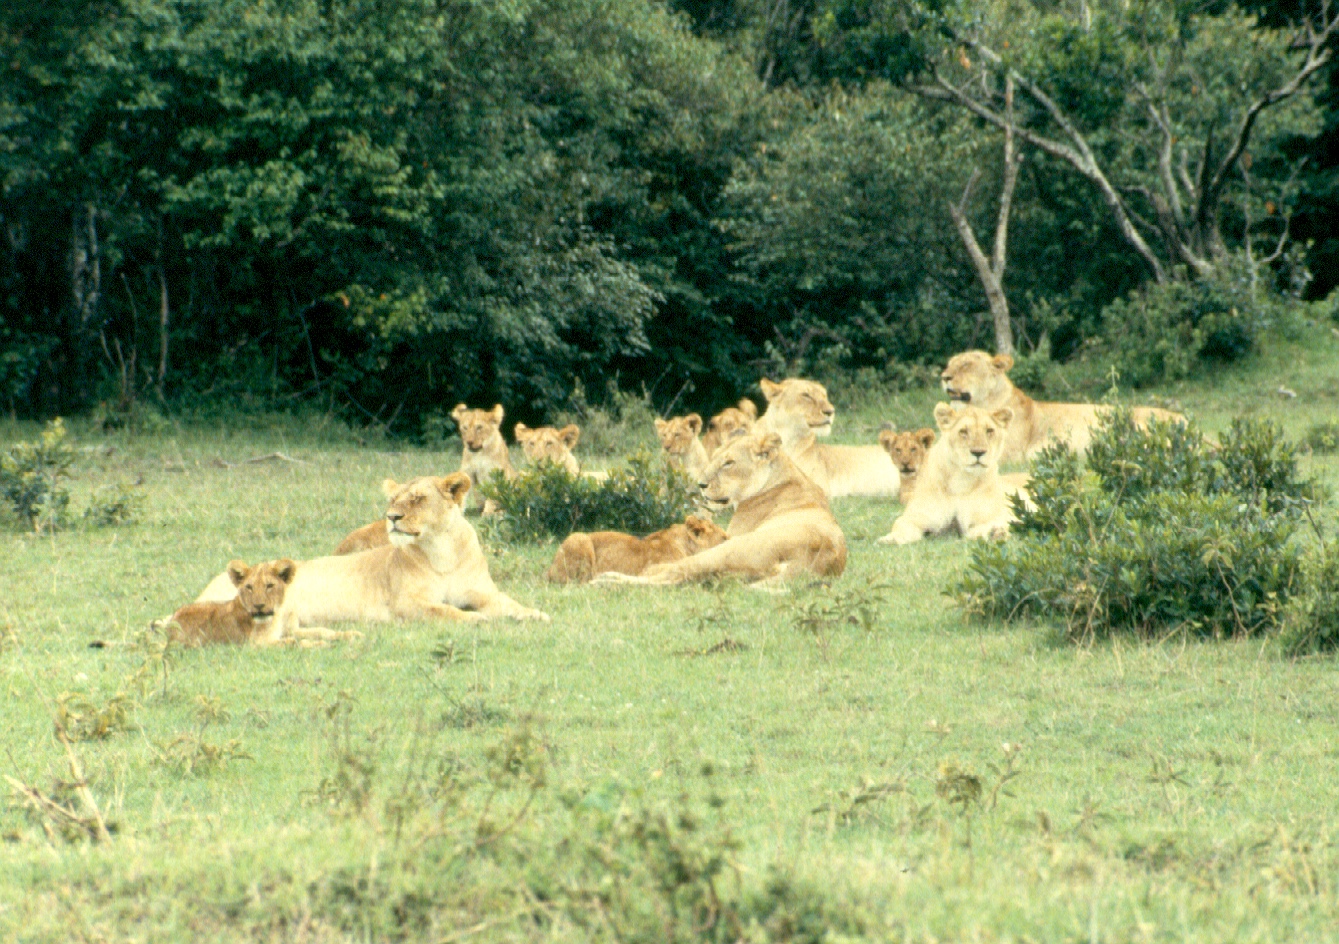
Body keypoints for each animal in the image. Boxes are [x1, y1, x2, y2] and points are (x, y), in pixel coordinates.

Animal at [198, 474, 548, 639]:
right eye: (393, 500)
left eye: (417, 499)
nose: (391, 517)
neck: (442, 550)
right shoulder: (407, 603)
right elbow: (445, 611)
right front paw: (475, 619)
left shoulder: (485, 593)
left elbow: (512, 605)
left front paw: (536, 615)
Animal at [596, 432, 846, 585]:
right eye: (715, 457)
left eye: (728, 463)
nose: (701, 485)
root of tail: (816, 561)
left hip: (729, 548)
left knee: (675, 573)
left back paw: (610, 580)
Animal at [879, 404, 1017, 545]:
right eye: (963, 431)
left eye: (989, 430)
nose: (978, 452)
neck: (960, 481)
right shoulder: (914, 517)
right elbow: (900, 527)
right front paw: (890, 539)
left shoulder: (994, 516)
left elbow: (985, 527)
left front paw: (994, 533)